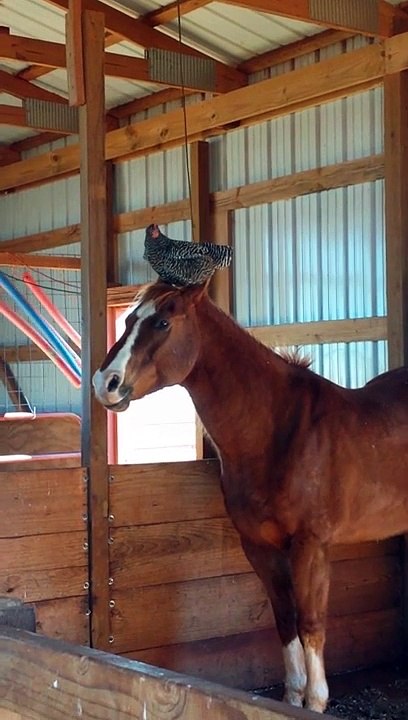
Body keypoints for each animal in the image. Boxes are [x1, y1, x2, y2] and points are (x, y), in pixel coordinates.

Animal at [93, 280, 408, 713]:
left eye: (163, 321)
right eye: (128, 320)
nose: (104, 382)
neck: (279, 429)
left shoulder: (311, 546)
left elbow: (311, 623)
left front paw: (315, 701)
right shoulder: (259, 547)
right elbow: (286, 620)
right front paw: (292, 695)